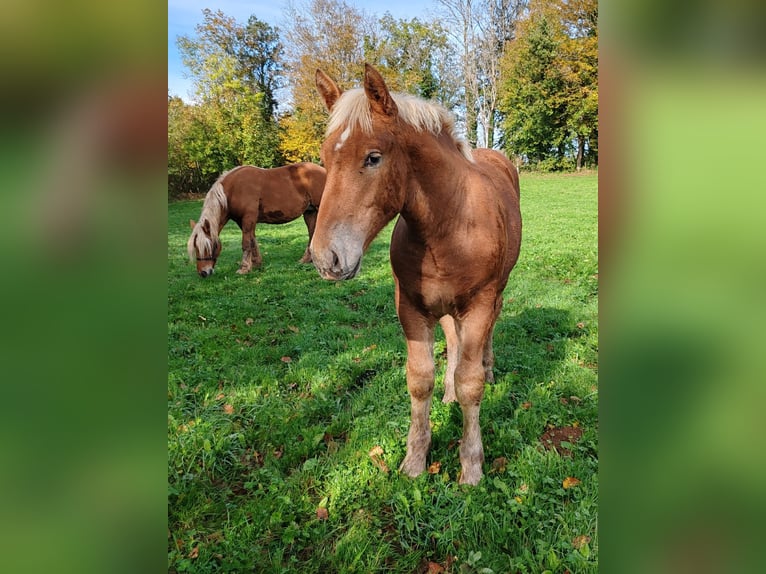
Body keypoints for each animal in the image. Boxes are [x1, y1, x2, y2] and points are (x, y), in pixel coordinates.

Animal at [191, 163, 328, 278]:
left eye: (210, 246)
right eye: (196, 247)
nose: (203, 272)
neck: (233, 189)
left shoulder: (248, 218)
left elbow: (246, 243)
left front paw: (244, 268)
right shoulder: (243, 221)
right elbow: (253, 241)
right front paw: (256, 263)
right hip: (310, 212)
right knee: (312, 233)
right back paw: (306, 259)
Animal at [312, 64, 520, 486]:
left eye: (373, 157)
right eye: (324, 158)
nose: (327, 259)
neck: (449, 224)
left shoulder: (479, 304)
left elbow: (472, 383)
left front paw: (471, 466)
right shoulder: (410, 307)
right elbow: (420, 379)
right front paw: (414, 460)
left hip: (495, 294)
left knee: (488, 334)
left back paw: (489, 370)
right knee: (453, 340)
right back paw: (449, 392)